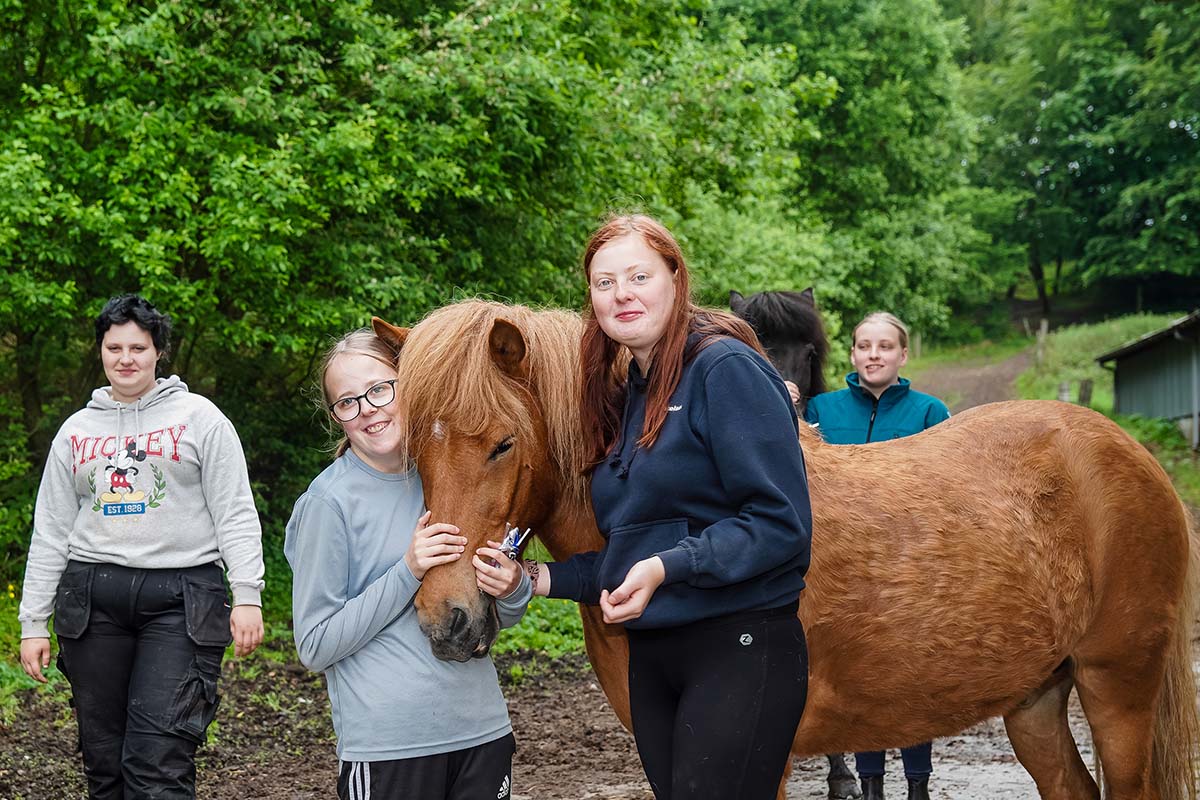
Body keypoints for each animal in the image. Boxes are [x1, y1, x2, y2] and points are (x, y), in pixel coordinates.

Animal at [369, 302, 1195, 800]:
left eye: (503, 443)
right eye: (415, 451)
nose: (447, 620)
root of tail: (1130, 453)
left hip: (1116, 688)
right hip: (1035, 700)